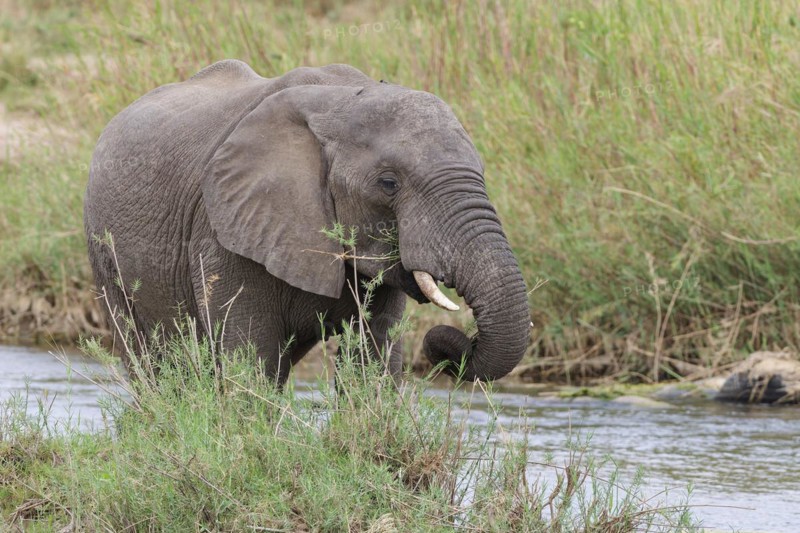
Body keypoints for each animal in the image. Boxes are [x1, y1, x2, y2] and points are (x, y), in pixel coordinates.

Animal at [84, 60, 530, 386]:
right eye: (388, 184)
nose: (442, 344)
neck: (340, 102)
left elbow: (373, 359)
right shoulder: (222, 231)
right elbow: (251, 357)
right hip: (103, 251)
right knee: (149, 358)